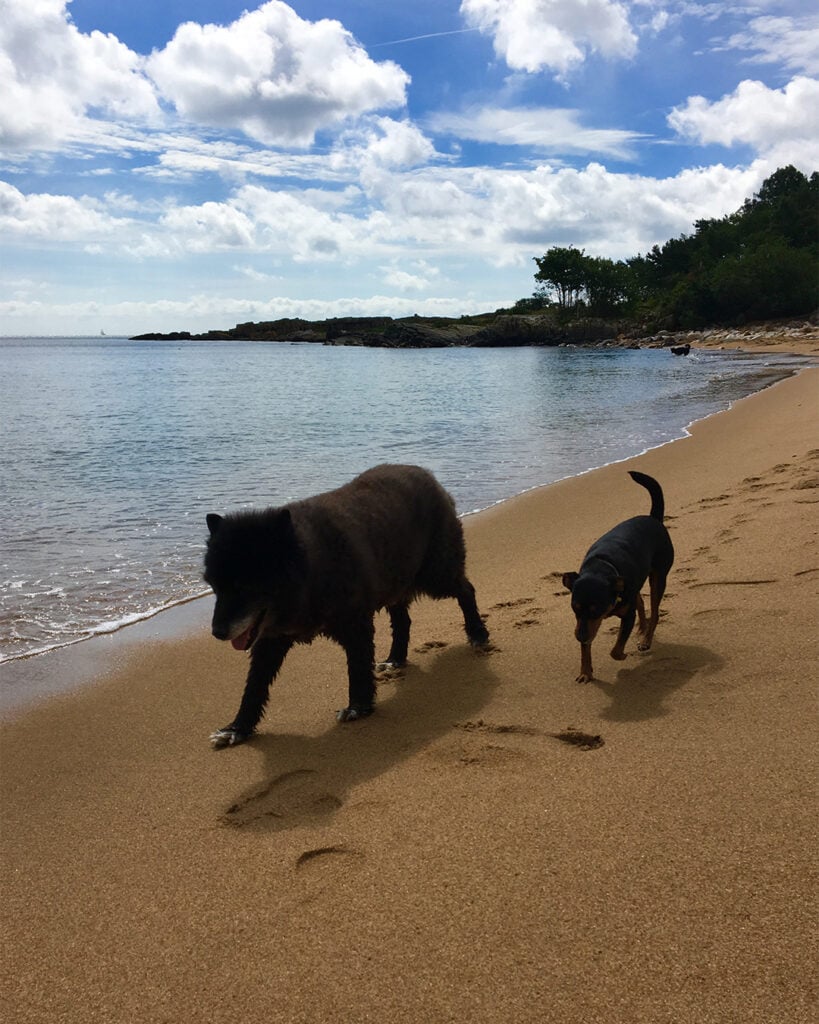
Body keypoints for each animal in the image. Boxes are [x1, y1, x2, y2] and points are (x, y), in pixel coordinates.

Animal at [203, 464, 490, 747]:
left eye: (244, 587)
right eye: (214, 585)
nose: (217, 632)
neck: (310, 568)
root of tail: (428, 474)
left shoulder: (356, 626)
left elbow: (358, 668)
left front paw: (358, 707)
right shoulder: (271, 640)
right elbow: (254, 686)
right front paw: (236, 728)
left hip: (437, 575)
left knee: (466, 590)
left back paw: (477, 633)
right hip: (395, 583)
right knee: (403, 621)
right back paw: (395, 659)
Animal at [561, 471, 674, 683]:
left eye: (596, 611)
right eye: (574, 608)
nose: (579, 636)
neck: (601, 567)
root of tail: (654, 519)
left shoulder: (626, 616)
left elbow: (616, 647)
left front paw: (621, 655)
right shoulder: (583, 623)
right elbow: (585, 650)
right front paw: (585, 672)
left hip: (659, 576)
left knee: (654, 610)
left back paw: (646, 639)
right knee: (640, 602)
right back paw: (642, 629)